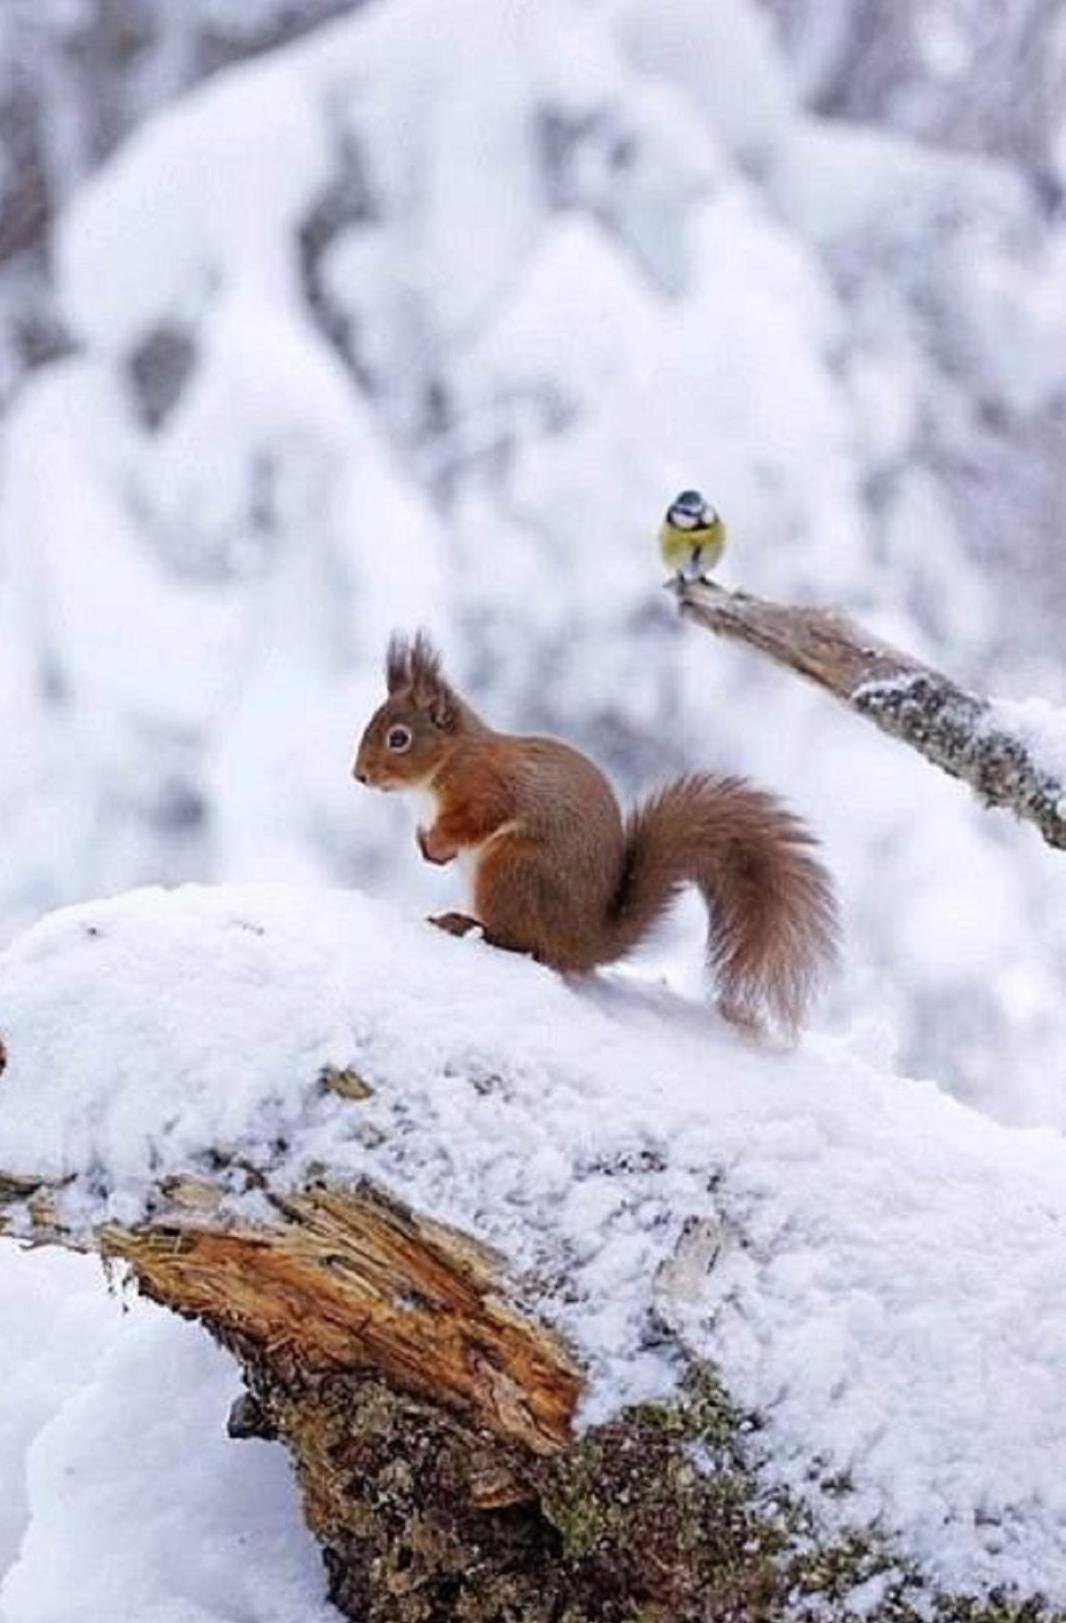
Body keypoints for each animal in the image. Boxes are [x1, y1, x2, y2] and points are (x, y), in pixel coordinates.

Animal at [353, 626, 837, 1032]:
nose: (359, 775)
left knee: (525, 946)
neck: (447, 764)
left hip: (513, 868)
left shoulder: (488, 790)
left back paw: (466, 925)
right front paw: (427, 847)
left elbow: (475, 820)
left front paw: (437, 842)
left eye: (399, 738)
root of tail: (586, 942)